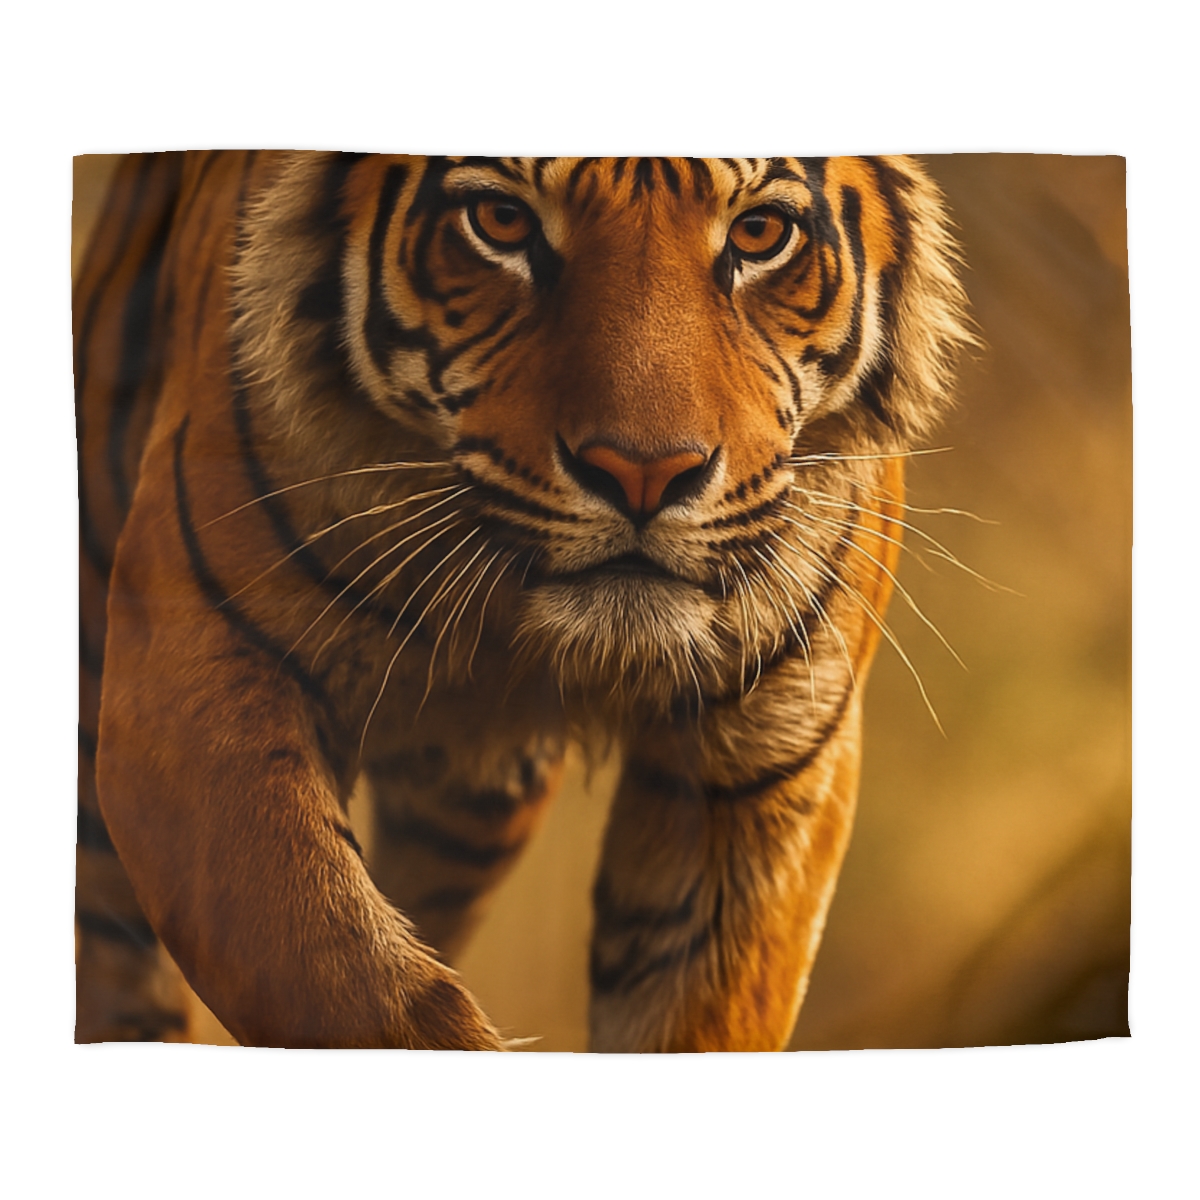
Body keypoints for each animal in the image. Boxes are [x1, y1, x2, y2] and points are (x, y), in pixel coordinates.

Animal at [75, 153, 970, 1050]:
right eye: (501, 221)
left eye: (759, 233)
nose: (644, 474)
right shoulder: (196, 694)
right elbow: (364, 988)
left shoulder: (764, 763)